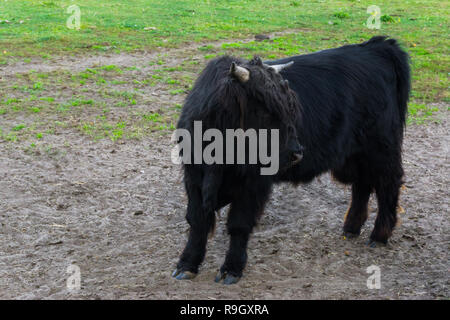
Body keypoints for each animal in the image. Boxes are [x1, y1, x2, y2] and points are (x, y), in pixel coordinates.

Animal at [172, 36, 412, 284]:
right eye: (265, 111)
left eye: (290, 108)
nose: (297, 153)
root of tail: (376, 46)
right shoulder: (193, 177)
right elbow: (197, 220)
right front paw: (187, 264)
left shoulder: (253, 183)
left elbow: (239, 224)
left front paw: (232, 268)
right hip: (356, 154)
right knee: (362, 185)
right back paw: (351, 228)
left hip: (382, 148)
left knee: (388, 185)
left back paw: (379, 235)